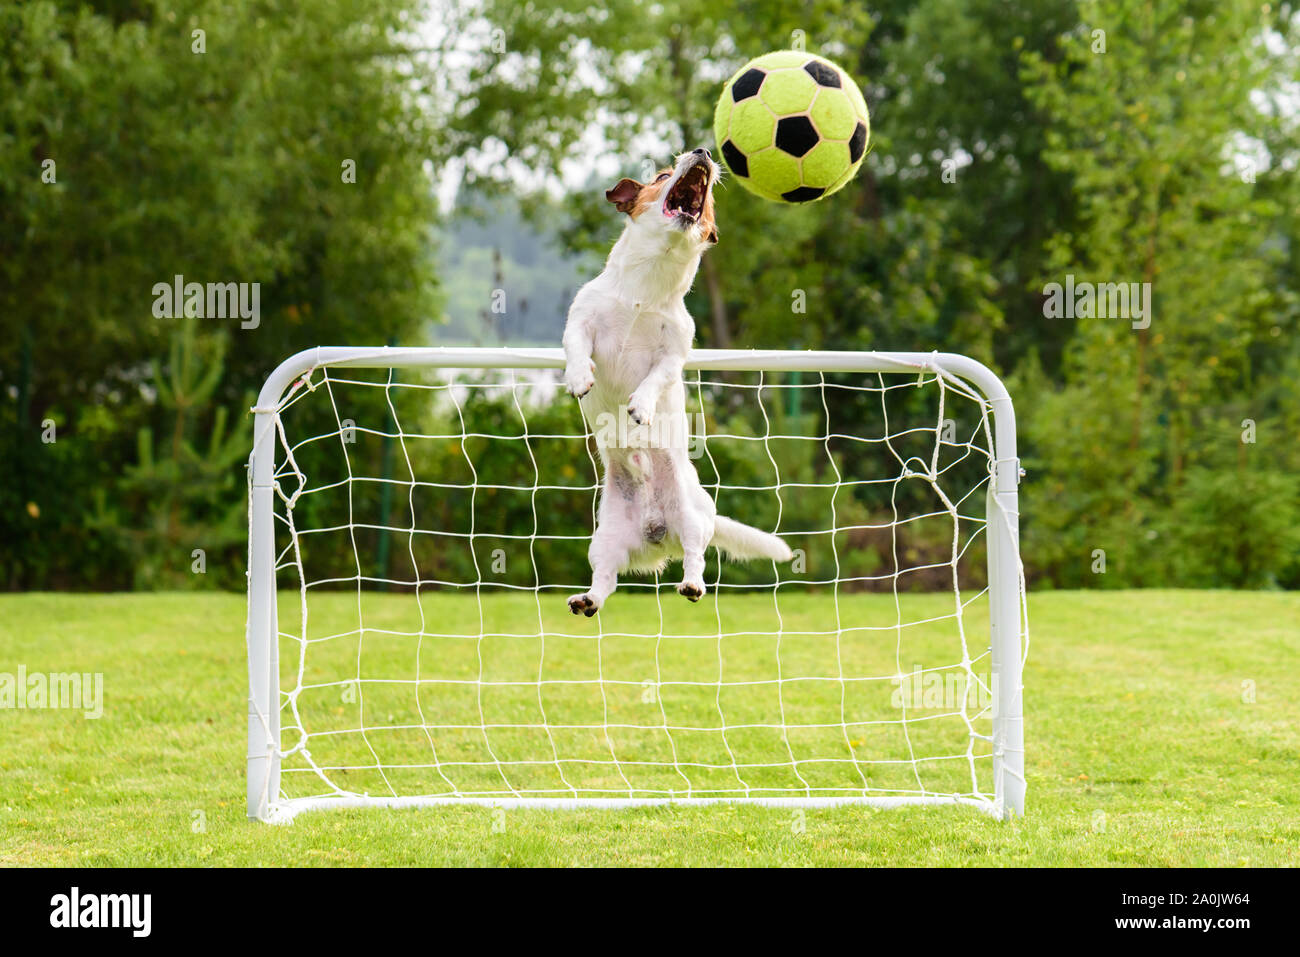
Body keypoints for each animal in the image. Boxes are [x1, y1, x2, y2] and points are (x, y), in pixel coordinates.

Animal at [561, 147, 790, 613]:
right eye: (662, 175)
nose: (702, 151)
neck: (645, 289)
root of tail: (656, 534)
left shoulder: (674, 352)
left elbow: (655, 378)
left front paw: (641, 406)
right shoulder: (581, 321)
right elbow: (577, 346)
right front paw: (579, 377)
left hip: (692, 518)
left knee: (695, 557)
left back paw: (692, 584)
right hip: (604, 539)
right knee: (605, 578)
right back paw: (587, 600)